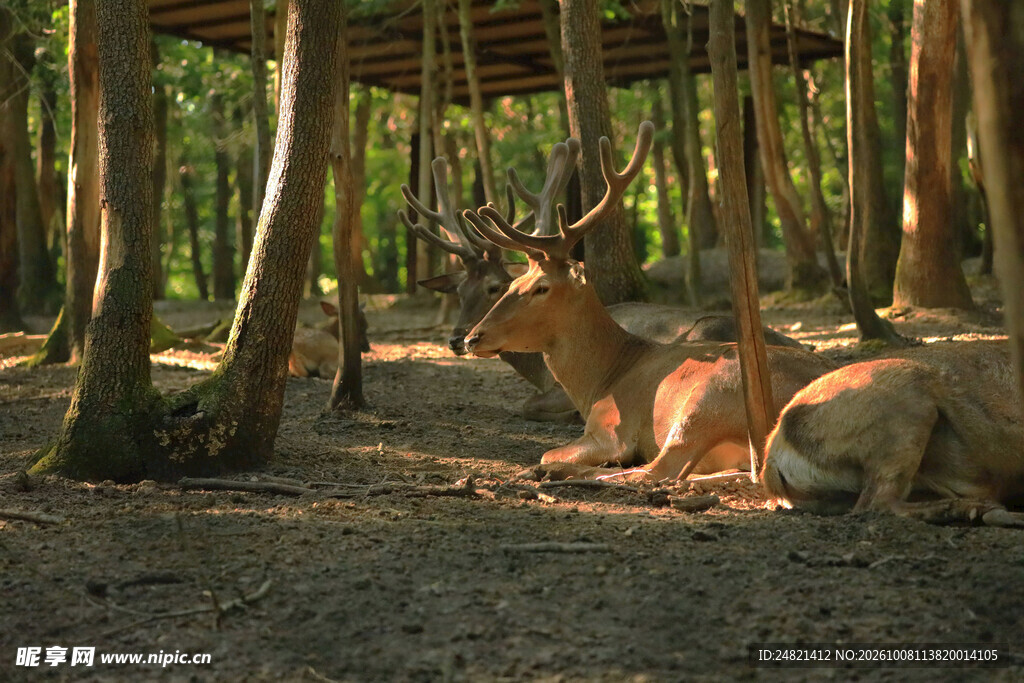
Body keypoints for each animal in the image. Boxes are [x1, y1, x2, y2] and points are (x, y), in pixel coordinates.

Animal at [462, 121, 836, 478]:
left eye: (541, 287)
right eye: (513, 284)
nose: (471, 338)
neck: (602, 381)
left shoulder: (612, 427)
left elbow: (552, 450)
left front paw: (550, 463)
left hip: (710, 398)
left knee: (658, 471)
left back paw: (550, 472)